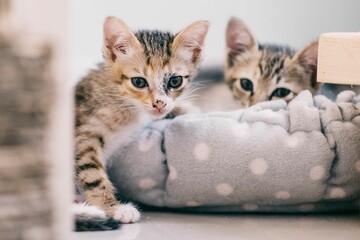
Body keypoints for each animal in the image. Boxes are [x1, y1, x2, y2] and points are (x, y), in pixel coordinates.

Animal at [74, 16, 208, 229]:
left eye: (175, 81)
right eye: (138, 82)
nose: (159, 103)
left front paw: (184, 109)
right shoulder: (84, 135)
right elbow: (92, 173)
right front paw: (113, 207)